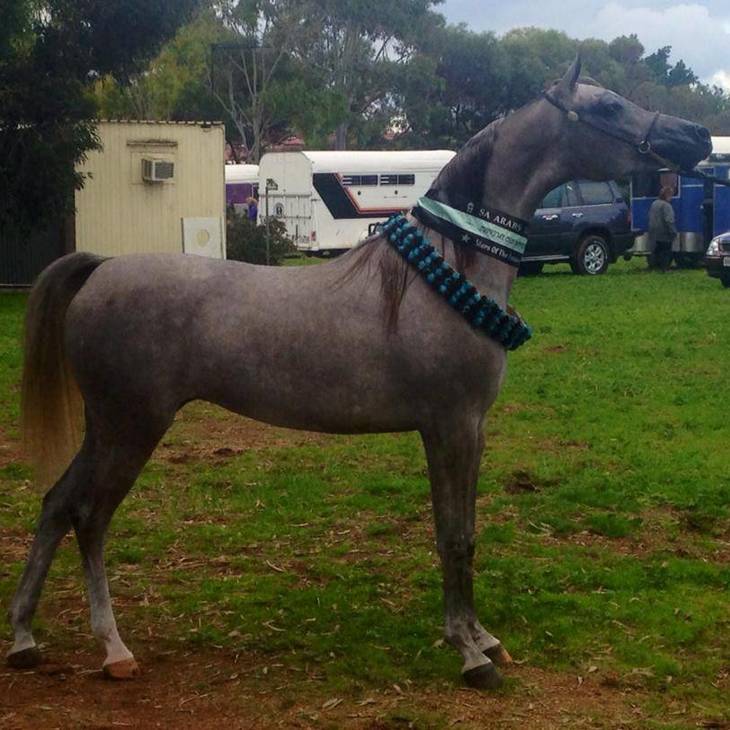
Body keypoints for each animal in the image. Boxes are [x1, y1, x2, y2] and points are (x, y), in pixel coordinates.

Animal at [7, 57, 711, 689]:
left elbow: (466, 532)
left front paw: (481, 636)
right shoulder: (450, 427)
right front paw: (470, 653)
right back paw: (113, 650)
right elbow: (453, 535)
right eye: (608, 107)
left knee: (56, 504)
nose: (696, 139)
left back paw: (24, 640)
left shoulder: (471, 430)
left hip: (107, 429)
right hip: (130, 428)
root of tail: (101, 268)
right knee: (89, 518)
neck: (443, 275)